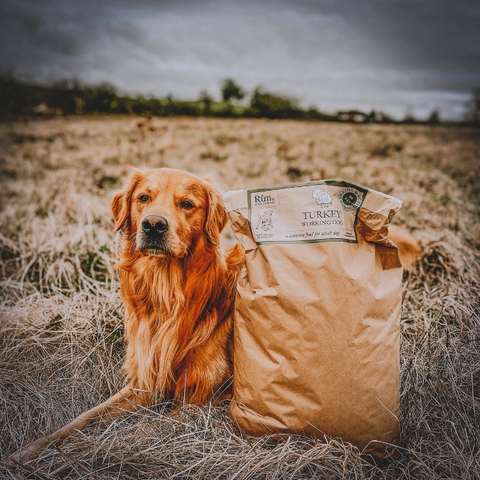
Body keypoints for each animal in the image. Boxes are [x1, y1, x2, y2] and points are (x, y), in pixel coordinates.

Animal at [9, 170, 418, 464]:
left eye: (187, 204)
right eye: (143, 198)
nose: (153, 225)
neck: (168, 294)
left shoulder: (200, 399)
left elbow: (145, 430)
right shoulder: (144, 383)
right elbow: (81, 420)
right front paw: (29, 451)